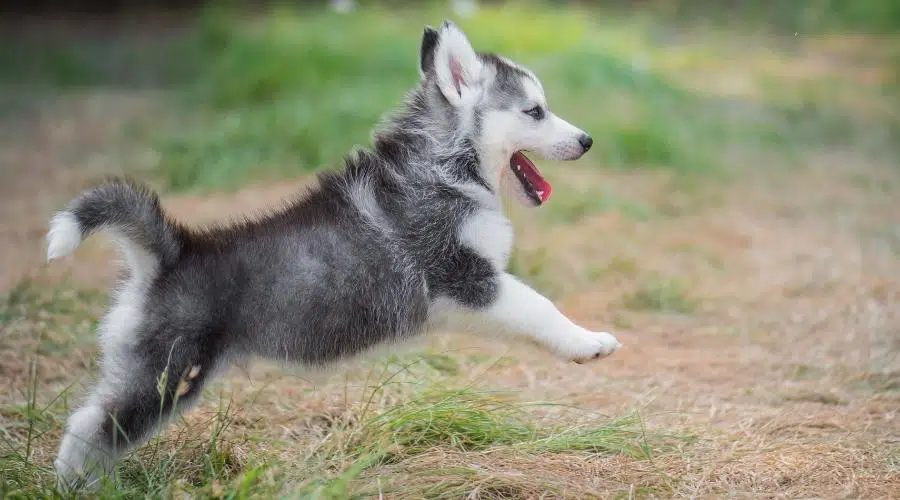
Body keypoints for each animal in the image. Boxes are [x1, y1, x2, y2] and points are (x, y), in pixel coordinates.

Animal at [47, 21, 620, 490]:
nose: (589, 140)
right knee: (89, 427)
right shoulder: (465, 277)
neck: (445, 165)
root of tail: (172, 252)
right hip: (165, 374)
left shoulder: (465, 295)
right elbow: (539, 306)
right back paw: (78, 485)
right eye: (535, 111)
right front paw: (587, 342)